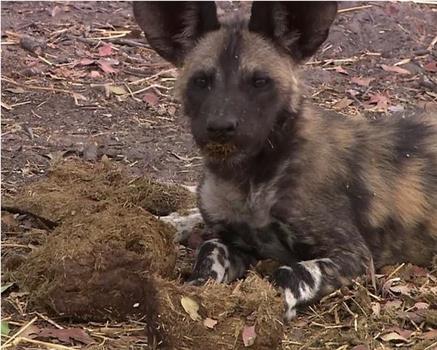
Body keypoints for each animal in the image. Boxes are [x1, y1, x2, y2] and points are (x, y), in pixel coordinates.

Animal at [134, 2, 436, 320]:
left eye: (259, 82)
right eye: (201, 81)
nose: (220, 126)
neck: (248, 180)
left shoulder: (353, 255)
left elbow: (289, 274)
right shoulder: (233, 242)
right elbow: (208, 253)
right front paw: (194, 294)